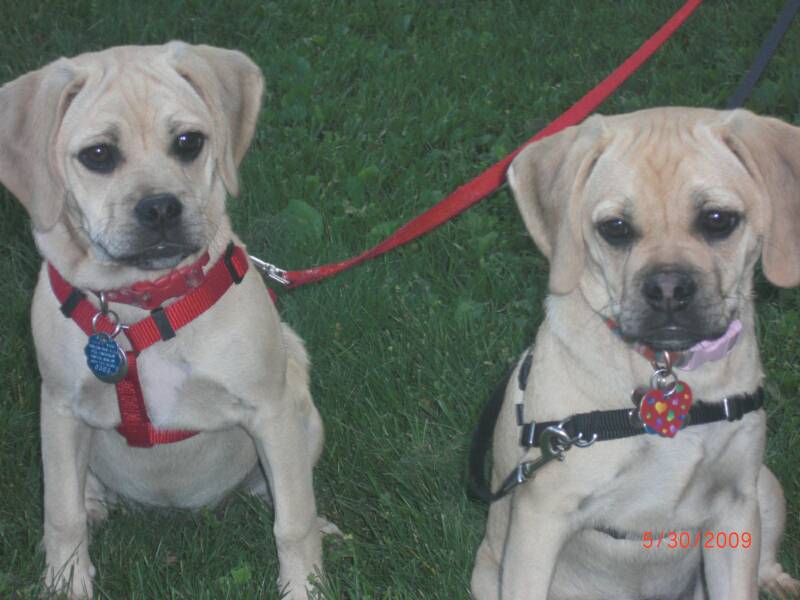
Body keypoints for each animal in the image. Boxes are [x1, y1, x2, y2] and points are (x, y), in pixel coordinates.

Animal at [0, 43, 324, 600]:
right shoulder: (59, 407)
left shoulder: (271, 410)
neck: (138, 307)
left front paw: (305, 585)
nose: (160, 209)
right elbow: (61, 512)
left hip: (302, 403)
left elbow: (293, 519)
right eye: (99, 155)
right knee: (79, 493)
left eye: (188, 142)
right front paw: (66, 582)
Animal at [472, 109, 796, 600]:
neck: (666, 373)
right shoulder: (540, 519)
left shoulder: (735, 507)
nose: (668, 289)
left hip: (766, 487)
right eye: (616, 228)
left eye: (717, 219)